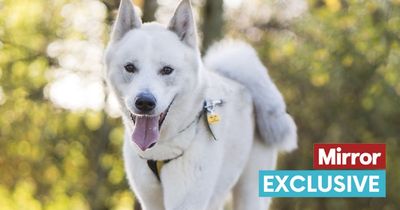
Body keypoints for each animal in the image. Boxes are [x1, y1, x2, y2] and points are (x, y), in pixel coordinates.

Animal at [104, 0, 296, 210]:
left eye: (167, 70)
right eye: (130, 67)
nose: (145, 102)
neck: (160, 149)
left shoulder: (188, 202)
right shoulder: (150, 202)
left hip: (250, 193)